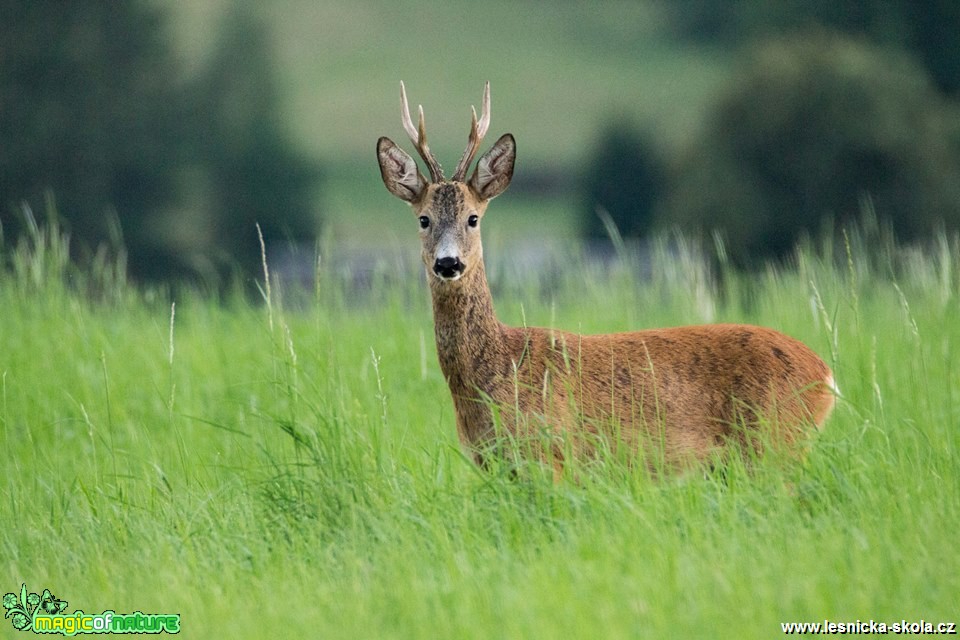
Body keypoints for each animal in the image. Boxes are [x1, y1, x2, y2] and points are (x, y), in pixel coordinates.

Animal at [376, 81, 832, 470]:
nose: (448, 263)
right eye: (423, 219)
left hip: (775, 443)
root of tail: (825, 376)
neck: (496, 371)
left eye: (473, 218)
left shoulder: (552, 456)